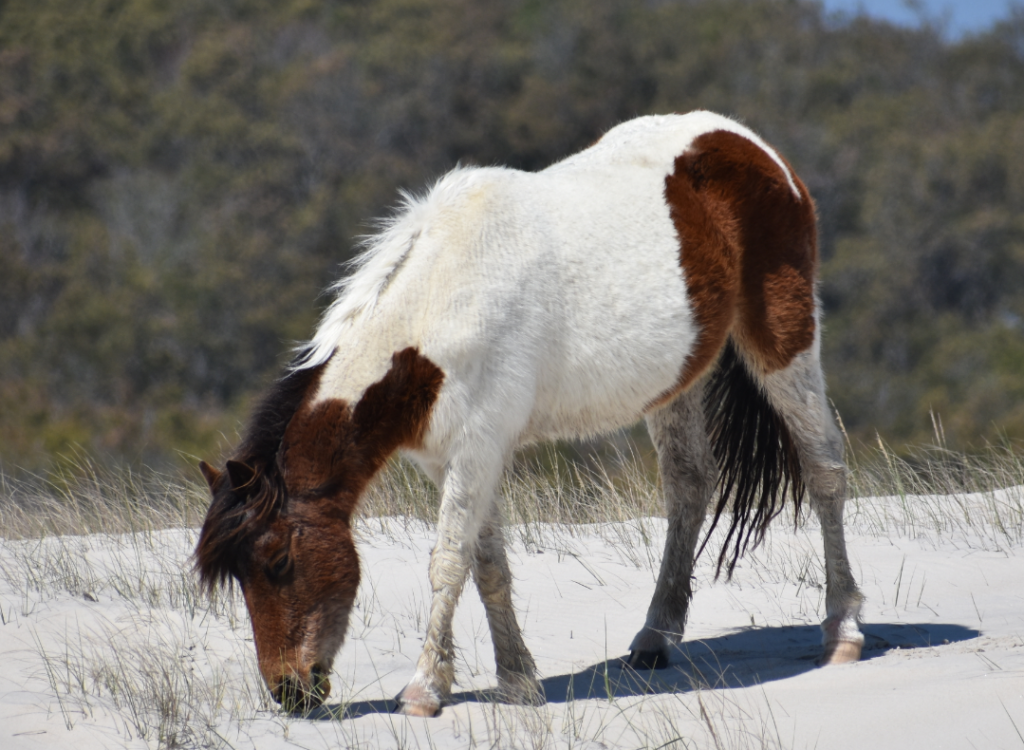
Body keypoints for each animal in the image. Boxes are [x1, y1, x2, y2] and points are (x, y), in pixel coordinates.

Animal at [195, 111, 864, 717]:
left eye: (279, 561)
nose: (288, 691)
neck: (439, 310)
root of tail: (748, 144)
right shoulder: (456, 459)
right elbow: (487, 565)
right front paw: (517, 682)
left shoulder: (477, 449)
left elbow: (448, 563)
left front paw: (424, 690)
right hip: (678, 383)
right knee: (689, 488)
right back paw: (654, 637)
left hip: (784, 341)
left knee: (824, 469)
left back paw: (843, 631)